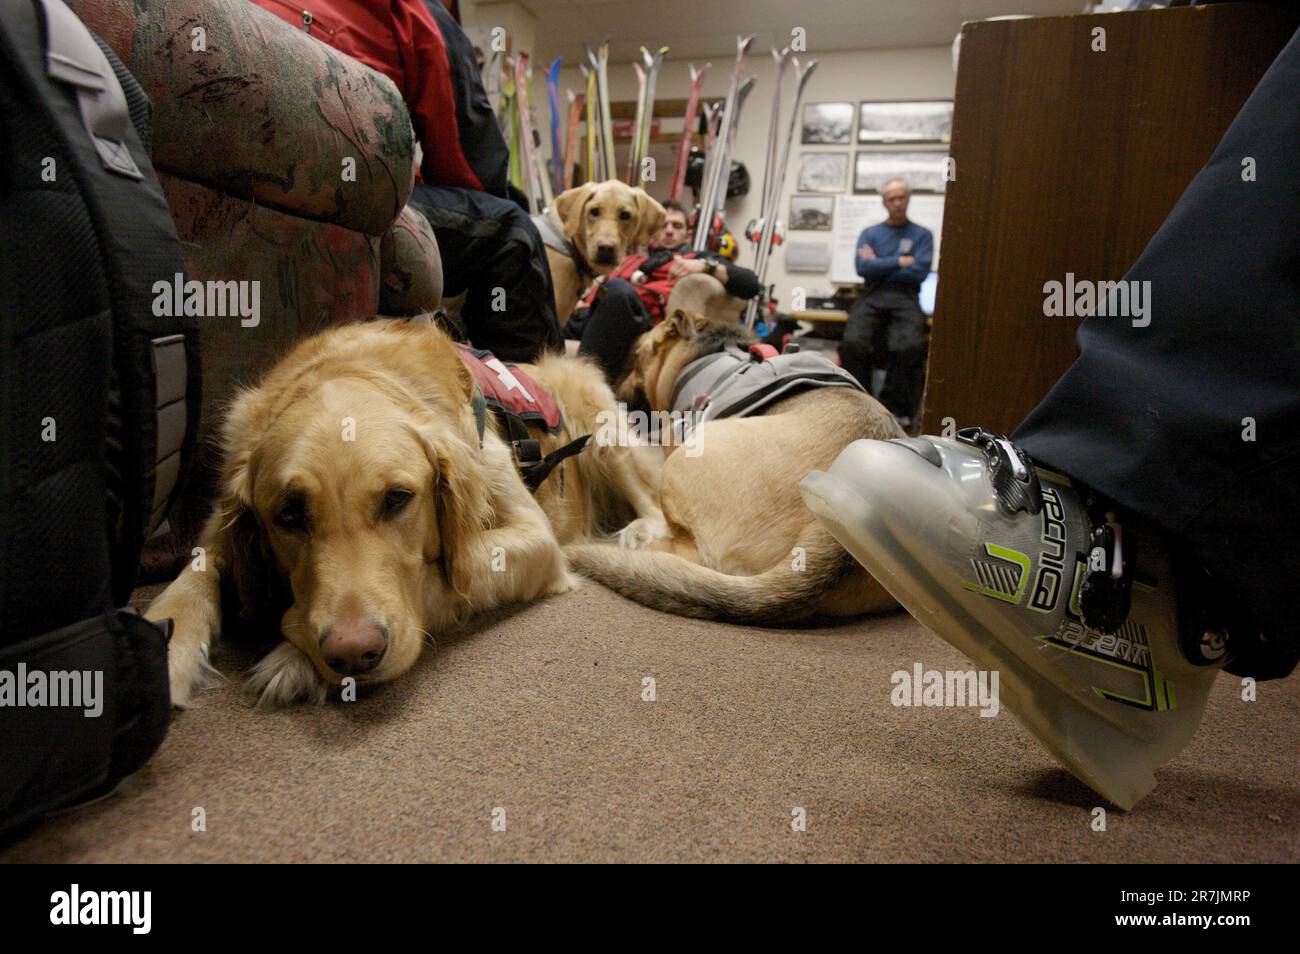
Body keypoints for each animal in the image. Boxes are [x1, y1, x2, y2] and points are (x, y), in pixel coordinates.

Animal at [147, 317, 665, 707]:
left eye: (398, 498)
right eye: (288, 516)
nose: (352, 653)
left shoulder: (534, 536)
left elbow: (441, 576)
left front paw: (293, 660)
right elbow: (195, 572)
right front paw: (166, 648)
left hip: (602, 431)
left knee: (653, 501)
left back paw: (639, 532)